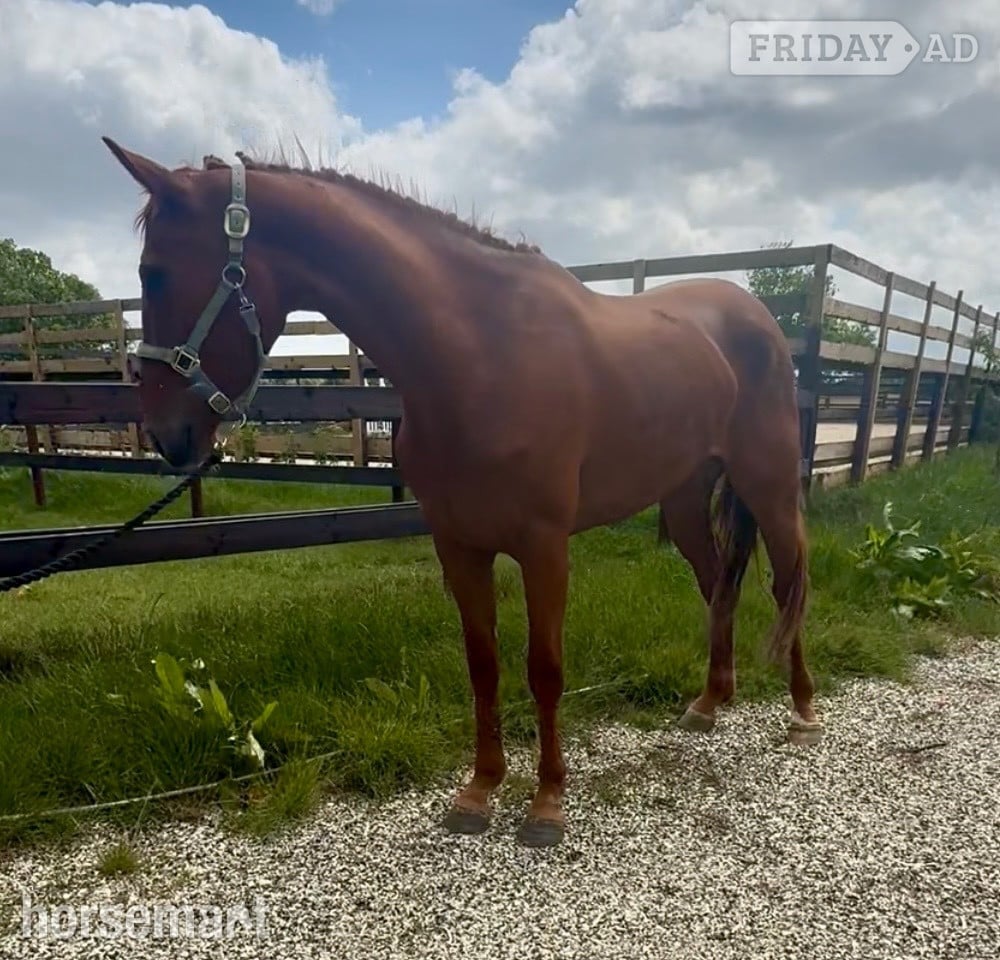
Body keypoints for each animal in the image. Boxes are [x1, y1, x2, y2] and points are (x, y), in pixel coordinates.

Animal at [102, 136, 823, 848]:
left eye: (154, 273)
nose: (166, 434)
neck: (480, 356)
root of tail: (759, 319)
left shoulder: (544, 548)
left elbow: (544, 668)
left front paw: (546, 805)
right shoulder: (458, 544)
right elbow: (483, 666)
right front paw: (479, 791)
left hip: (768, 483)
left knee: (786, 582)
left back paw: (804, 712)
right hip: (683, 498)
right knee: (719, 584)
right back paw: (709, 702)